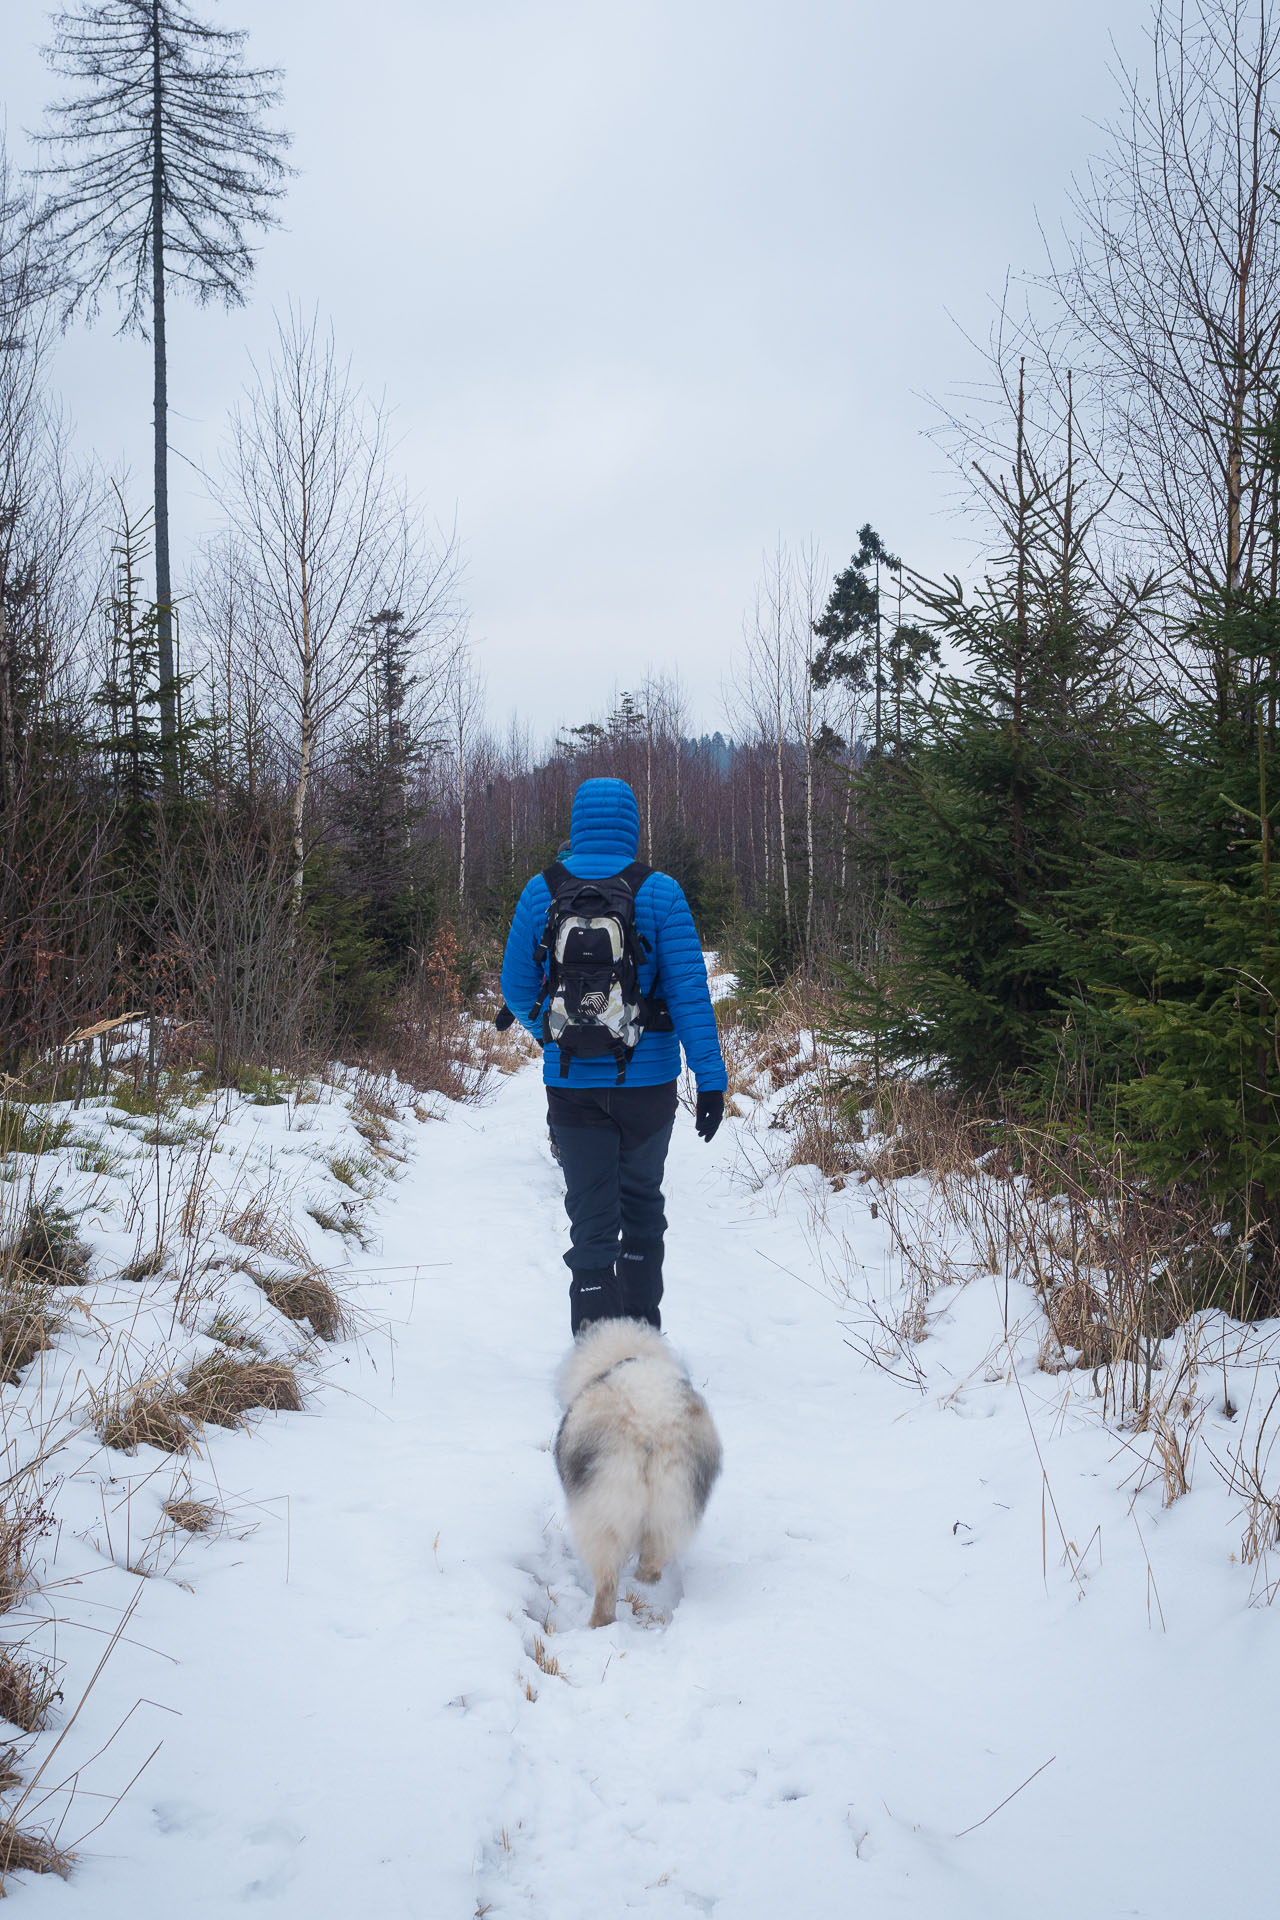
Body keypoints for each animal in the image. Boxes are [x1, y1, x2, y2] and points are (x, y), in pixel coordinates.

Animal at [556, 1320, 725, 1620]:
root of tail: (650, 1418)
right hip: (676, 1498)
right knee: (656, 1552)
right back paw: (647, 1578)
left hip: (603, 1511)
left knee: (607, 1581)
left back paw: (600, 1621)